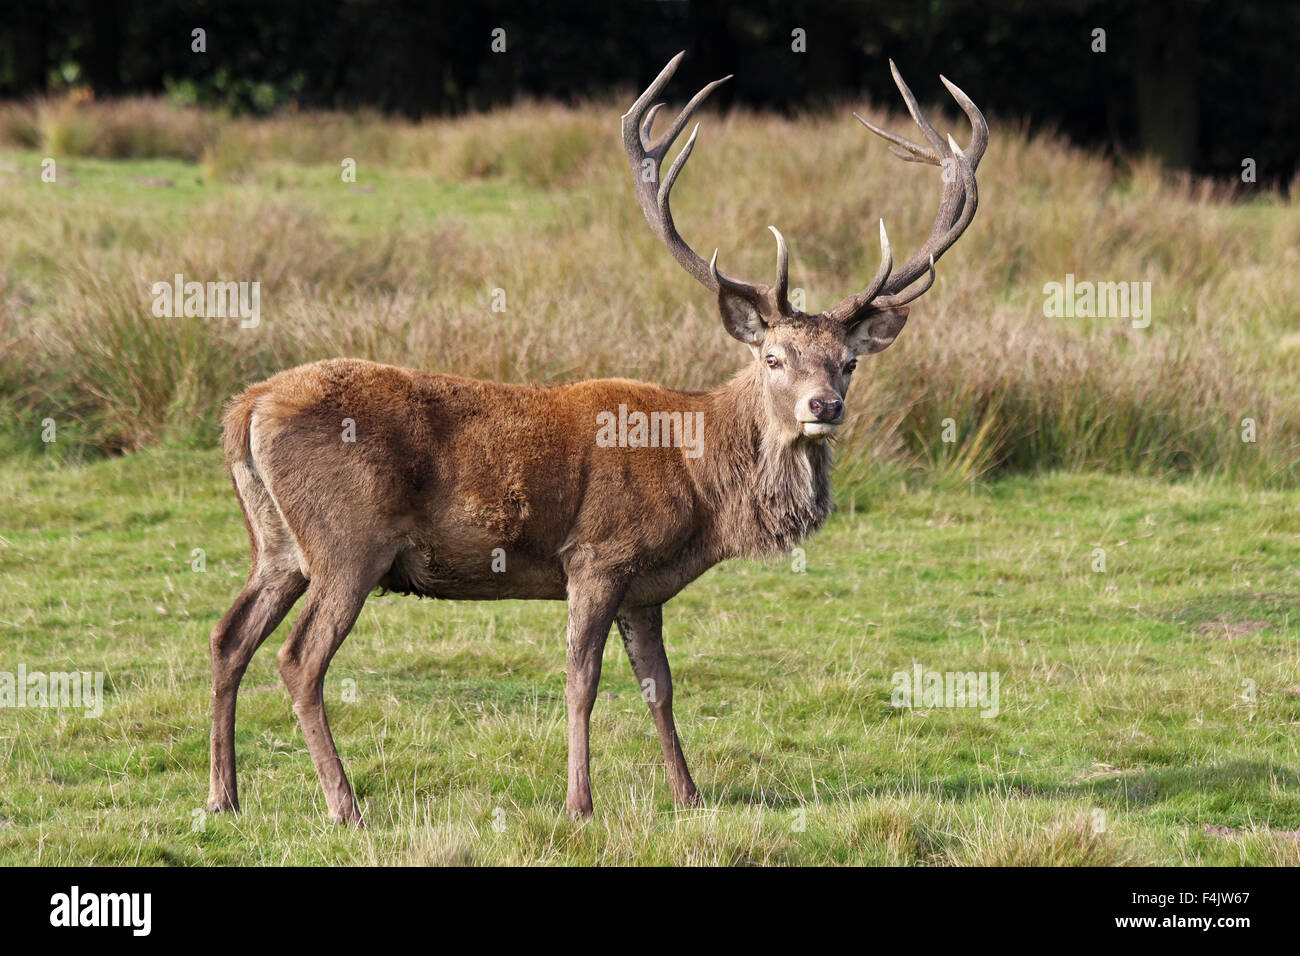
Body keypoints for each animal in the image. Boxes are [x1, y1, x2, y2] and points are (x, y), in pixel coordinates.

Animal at [205, 52, 982, 827]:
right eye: (773, 357)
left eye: (848, 361)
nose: (825, 405)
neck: (699, 485)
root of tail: (246, 407)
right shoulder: (597, 555)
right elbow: (582, 681)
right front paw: (579, 801)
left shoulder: (646, 587)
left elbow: (659, 686)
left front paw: (689, 795)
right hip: (347, 541)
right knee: (298, 658)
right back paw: (345, 806)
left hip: (277, 544)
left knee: (228, 638)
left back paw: (224, 796)